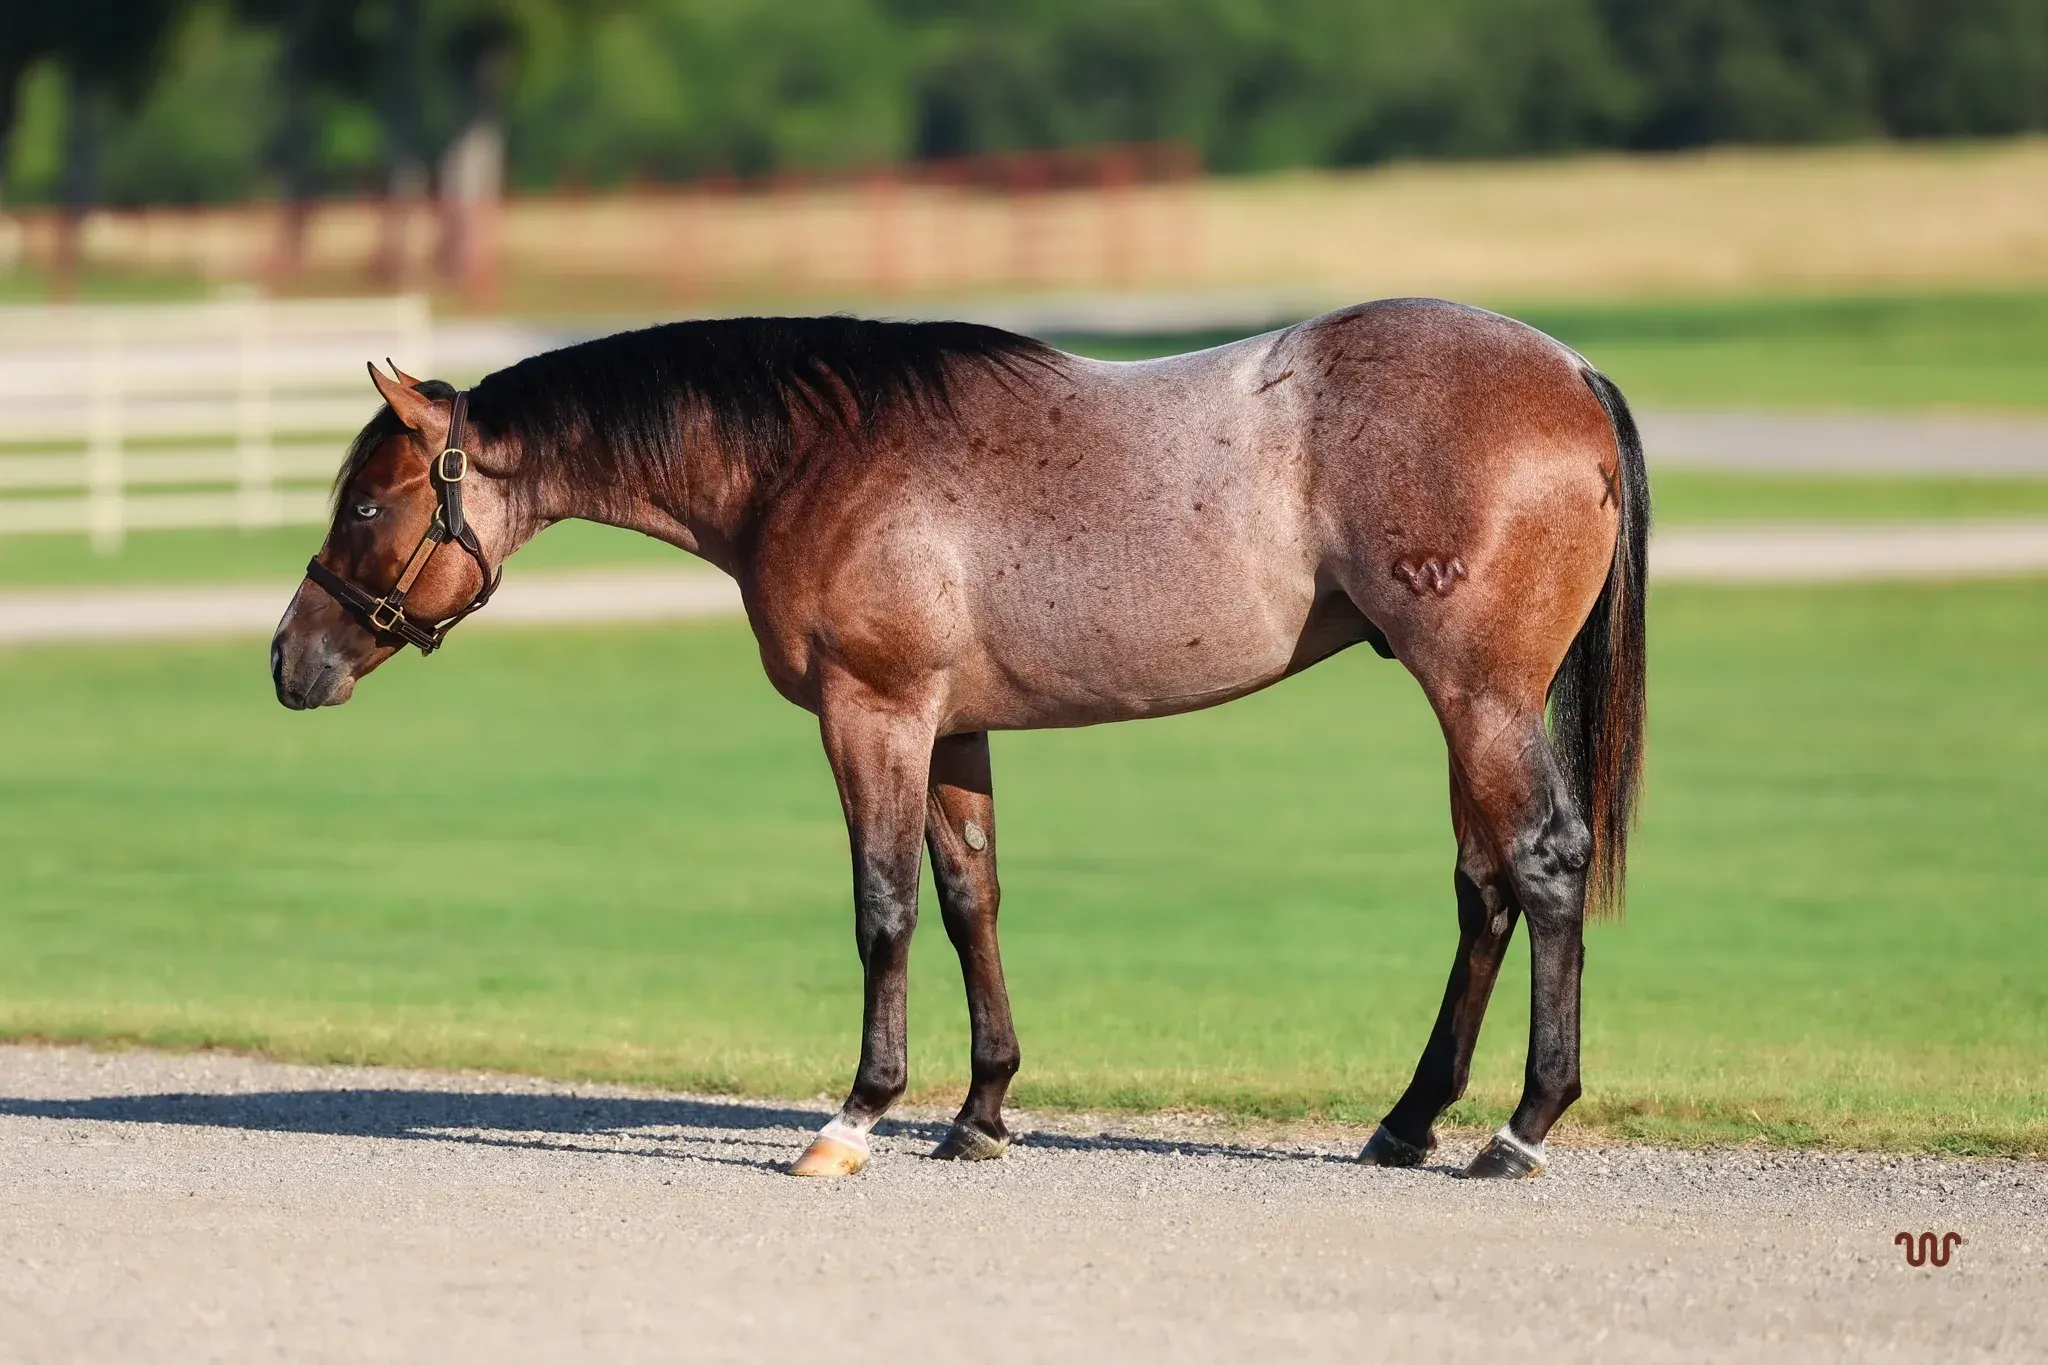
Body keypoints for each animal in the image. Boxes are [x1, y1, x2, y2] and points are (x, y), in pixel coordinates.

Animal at [271, 299, 1648, 1180]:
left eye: (364, 505)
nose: (290, 661)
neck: (817, 459)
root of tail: (1570, 370)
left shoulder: (872, 715)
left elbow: (883, 909)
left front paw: (856, 1116)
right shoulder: (951, 730)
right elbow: (967, 897)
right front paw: (980, 1110)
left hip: (1476, 695)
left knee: (1540, 864)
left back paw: (1519, 1127)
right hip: (1466, 704)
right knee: (1482, 888)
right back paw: (1409, 1121)